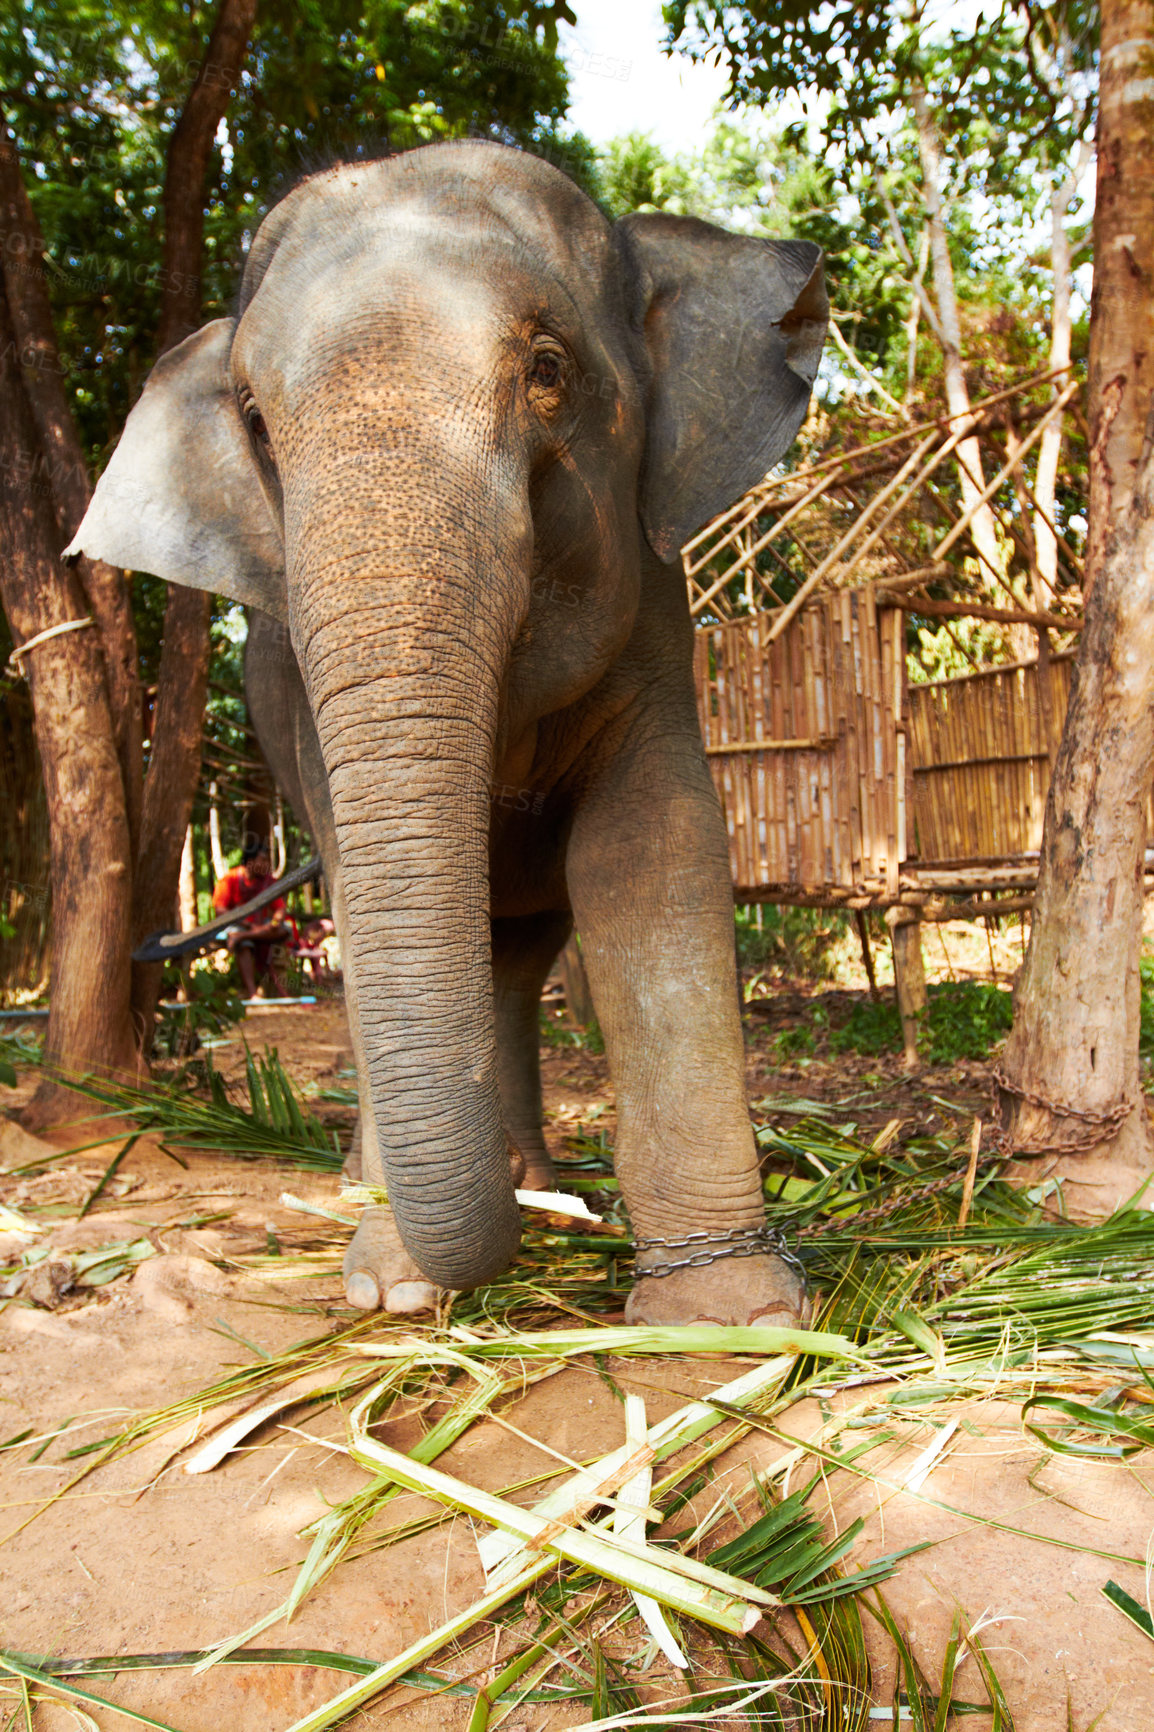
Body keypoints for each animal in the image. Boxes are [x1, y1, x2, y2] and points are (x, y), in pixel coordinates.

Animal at [67, 142, 821, 1323]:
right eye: (253, 419)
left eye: (548, 370)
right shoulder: (299, 697)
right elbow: (363, 880)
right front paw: (392, 1291)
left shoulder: (654, 608)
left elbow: (647, 849)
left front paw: (730, 1317)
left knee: (518, 945)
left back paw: (538, 1181)